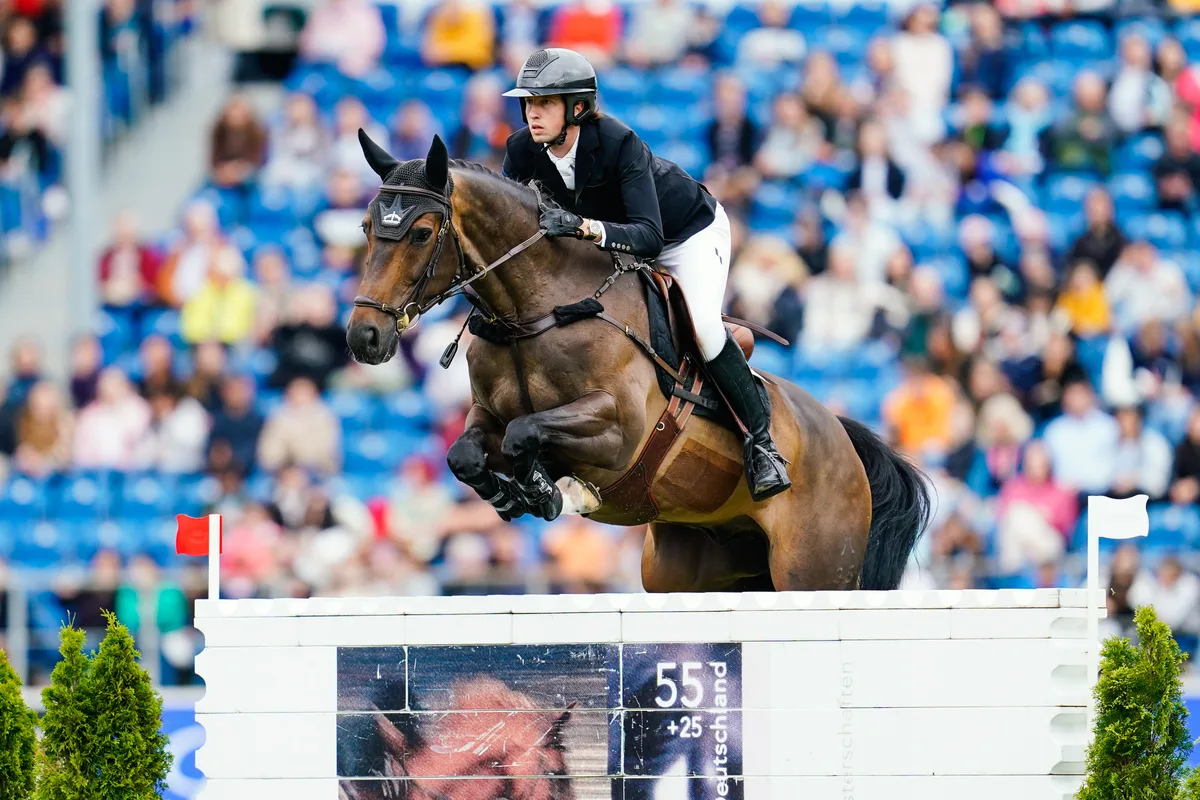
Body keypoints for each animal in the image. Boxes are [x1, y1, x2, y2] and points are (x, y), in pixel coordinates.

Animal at [345, 131, 932, 593]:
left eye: (422, 233)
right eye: (367, 229)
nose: (364, 337)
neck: (537, 313)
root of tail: (841, 439)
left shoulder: (619, 430)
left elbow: (523, 433)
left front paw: (548, 490)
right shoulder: (484, 416)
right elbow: (466, 453)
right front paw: (511, 495)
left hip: (811, 569)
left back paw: (765, 460)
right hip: (694, 571)